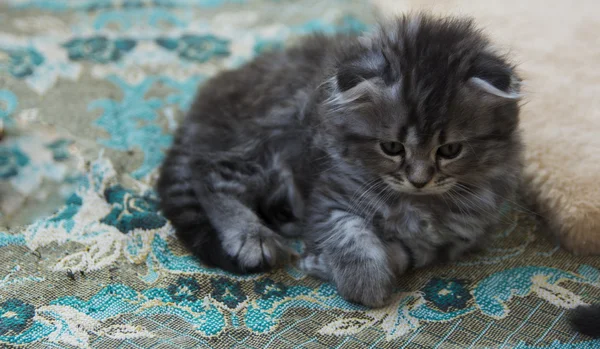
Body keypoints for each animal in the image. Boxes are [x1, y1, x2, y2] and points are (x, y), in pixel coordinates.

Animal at [157, 14, 524, 306]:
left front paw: (334, 264)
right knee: (209, 173)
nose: (419, 179)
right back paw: (252, 236)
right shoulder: (331, 194)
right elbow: (348, 237)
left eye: (449, 150)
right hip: (269, 135)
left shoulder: (455, 237)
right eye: (392, 147)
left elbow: (404, 253)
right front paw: (364, 284)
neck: (417, 204)